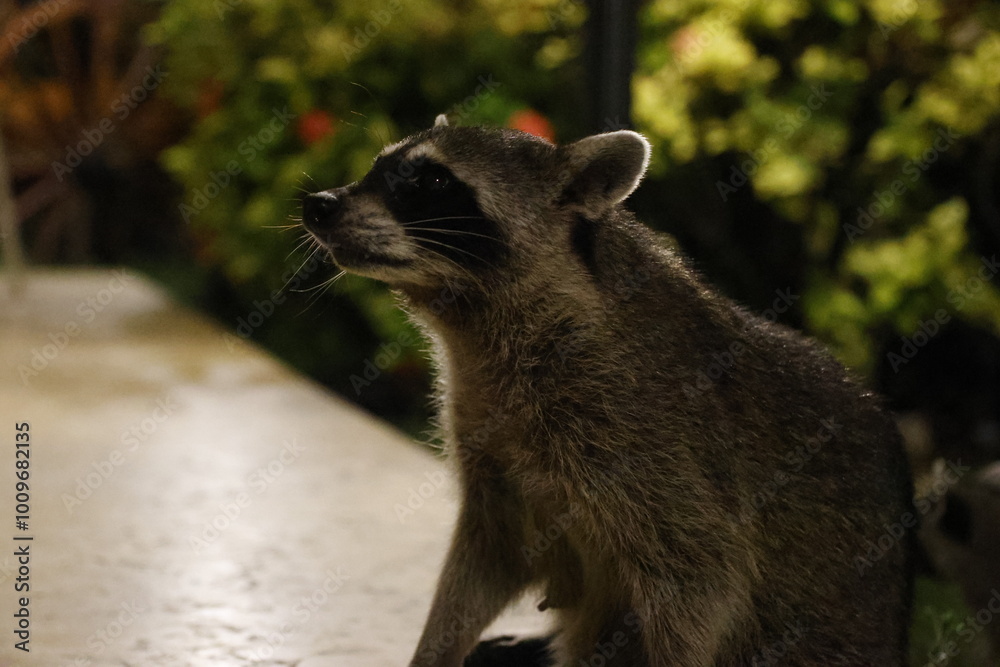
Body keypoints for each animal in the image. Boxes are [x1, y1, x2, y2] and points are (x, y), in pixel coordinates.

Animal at [301, 116, 913, 666]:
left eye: (430, 180)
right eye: (378, 167)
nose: (319, 204)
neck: (478, 327)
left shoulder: (650, 436)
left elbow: (704, 582)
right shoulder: (487, 439)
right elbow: (485, 562)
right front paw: (436, 648)